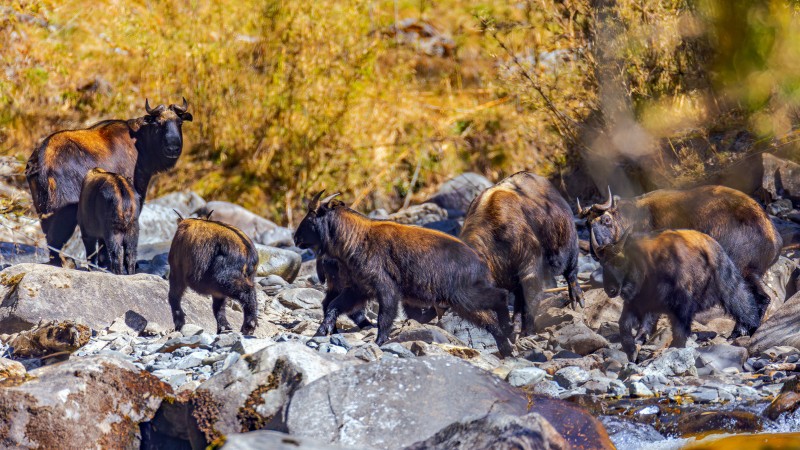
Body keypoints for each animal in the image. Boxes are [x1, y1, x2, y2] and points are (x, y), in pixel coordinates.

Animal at [294, 192, 512, 356]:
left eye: (311, 216)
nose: (295, 238)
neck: (357, 238)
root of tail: (481, 262)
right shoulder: (358, 289)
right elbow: (333, 307)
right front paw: (321, 331)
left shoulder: (386, 288)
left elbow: (384, 317)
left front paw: (380, 341)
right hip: (462, 302)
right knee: (489, 320)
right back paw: (506, 348)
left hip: (464, 296)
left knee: (500, 297)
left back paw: (509, 333)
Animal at [462, 172, 580, 334]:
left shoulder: (530, 270)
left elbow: (530, 302)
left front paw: (528, 332)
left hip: (569, 248)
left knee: (571, 273)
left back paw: (577, 299)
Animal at [580, 185, 784, 322]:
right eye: (587, 224)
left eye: (606, 220)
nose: (598, 251)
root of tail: (774, 239)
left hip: (740, 270)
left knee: (756, 299)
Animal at [596, 229, 760, 362]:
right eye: (602, 264)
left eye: (619, 262)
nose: (611, 290)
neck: (647, 263)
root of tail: (714, 243)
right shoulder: (639, 303)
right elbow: (624, 325)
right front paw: (632, 351)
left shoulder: (681, 304)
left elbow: (680, 330)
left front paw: (675, 350)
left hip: (727, 284)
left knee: (741, 302)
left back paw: (747, 329)